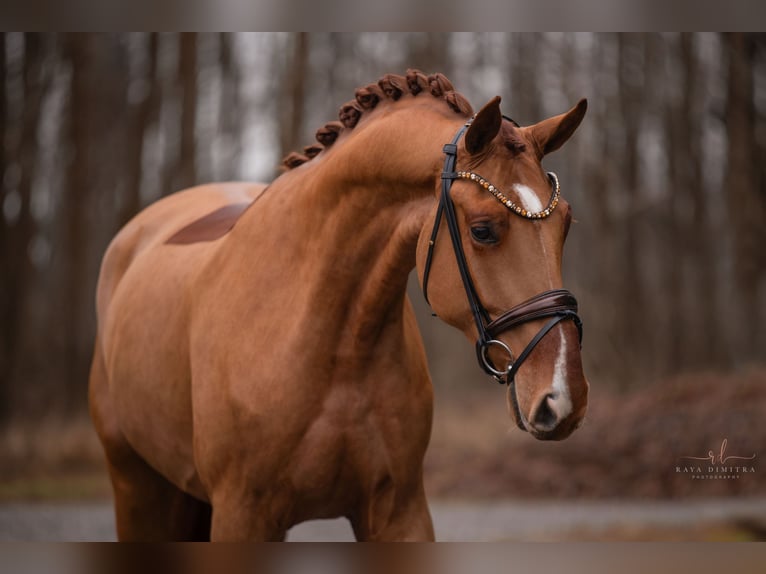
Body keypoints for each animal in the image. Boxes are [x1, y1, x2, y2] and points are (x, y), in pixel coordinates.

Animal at [91, 70, 592, 544]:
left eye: (567, 224)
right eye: (483, 230)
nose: (563, 397)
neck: (333, 344)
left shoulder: (401, 511)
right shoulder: (242, 514)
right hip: (136, 487)